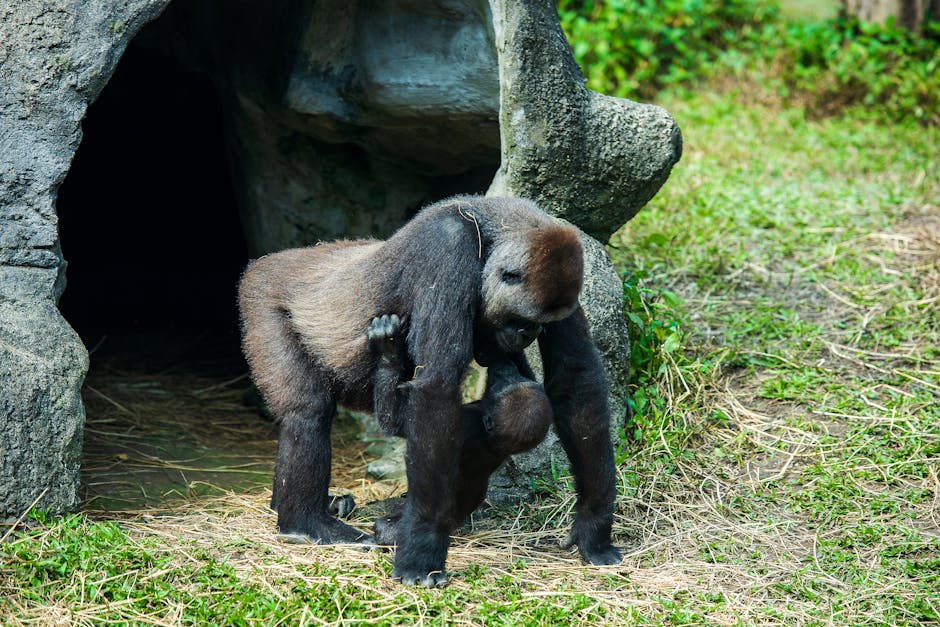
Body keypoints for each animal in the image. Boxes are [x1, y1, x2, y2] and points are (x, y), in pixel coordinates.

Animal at [238, 195, 621, 587]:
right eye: (523, 321)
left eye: (540, 325)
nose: (527, 335)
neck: (486, 229)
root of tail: (264, 264)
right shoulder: (449, 246)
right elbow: (436, 389)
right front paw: (422, 550)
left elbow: (574, 380)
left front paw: (593, 527)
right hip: (261, 300)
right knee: (308, 412)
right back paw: (306, 522)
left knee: (308, 413)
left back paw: (302, 515)